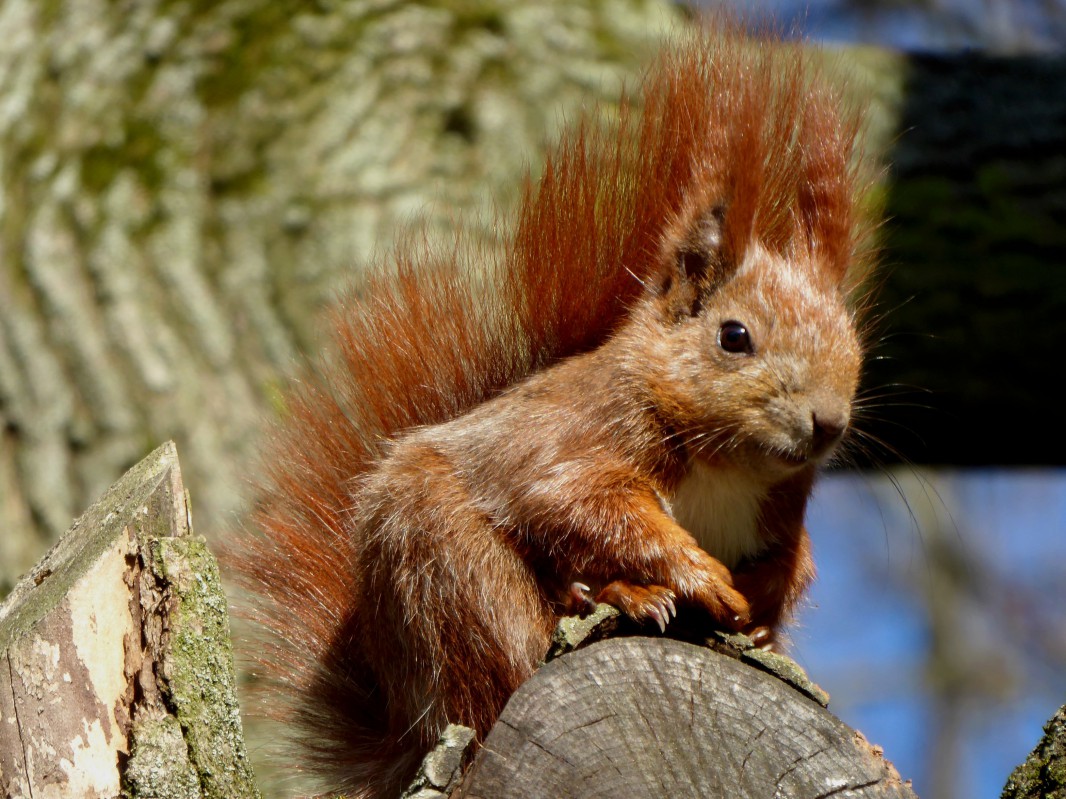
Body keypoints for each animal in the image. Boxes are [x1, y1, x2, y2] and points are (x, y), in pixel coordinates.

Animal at [231, 23, 874, 799]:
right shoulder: (573, 441)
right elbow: (583, 505)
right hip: (453, 570)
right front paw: (698, 574)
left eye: (856, 346)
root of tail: (411, 719)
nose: (827, 423)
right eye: (734, 336)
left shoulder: (779, 516)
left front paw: (757, 620)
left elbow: (791, 569)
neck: (729, 470)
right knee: (513, 652)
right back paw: (614, 596)